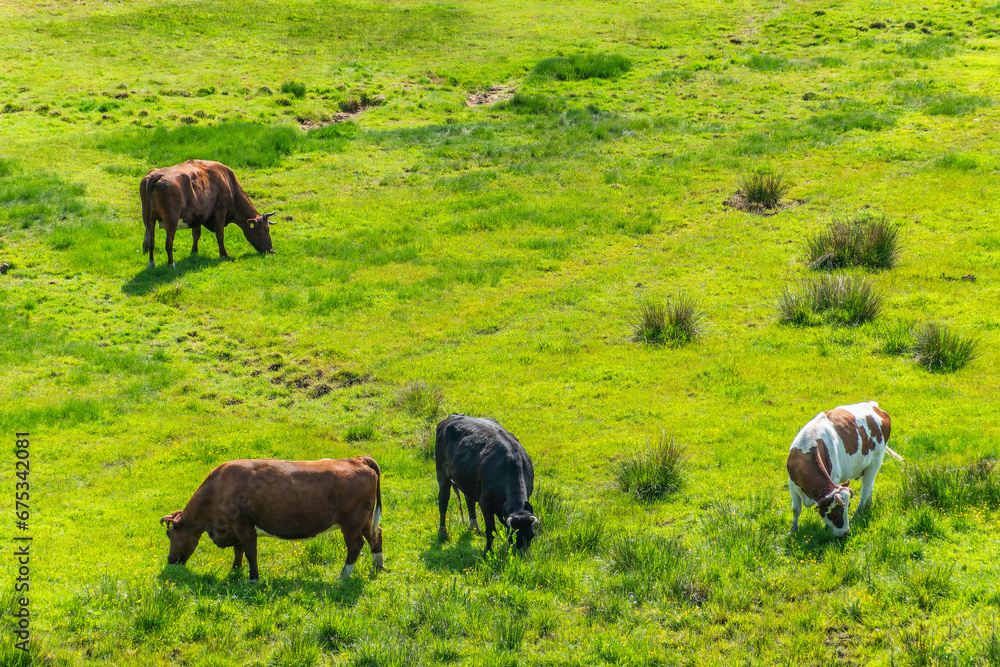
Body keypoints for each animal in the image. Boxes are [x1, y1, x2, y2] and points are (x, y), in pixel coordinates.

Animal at [139, 159, 276, 268]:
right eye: (266, 229)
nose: (272, 250)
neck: (228, 182)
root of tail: (157, 174)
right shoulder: (220, 211)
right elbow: (220, 235)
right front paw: (224, 254)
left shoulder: (196, 216)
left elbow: (196, 234)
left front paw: (194, 252)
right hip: (171, 219)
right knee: (168, 242)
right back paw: (171, 264)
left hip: (148, 218)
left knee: (151, 241)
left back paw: (151, 263)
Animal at [160, 456, 382, 580]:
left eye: (170, 536)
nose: (170, 561)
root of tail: (358, 459)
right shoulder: (234, 527)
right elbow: (238, 551)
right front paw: (235, 571)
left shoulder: (243, 524)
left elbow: (250, 552)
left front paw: (253, 578)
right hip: (366, 520)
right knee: (376, 535)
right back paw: (378, 566)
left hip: (351, 522)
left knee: (355, 545)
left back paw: (342, 577)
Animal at [434, 412, 536, 552]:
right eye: (513, 535)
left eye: (531, 535)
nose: (521, 555)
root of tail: (453, 415)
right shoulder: (485, 504)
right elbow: (491, 531)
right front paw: (487, 552)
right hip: (442, 474)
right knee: (443, 501)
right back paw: (443, 533)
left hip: (468, 480)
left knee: (469, 501)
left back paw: (475, 528)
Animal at [784, 402, 904, 536]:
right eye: (837, 511)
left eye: (848, 506)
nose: (846, 533)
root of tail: (873, 405)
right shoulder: (792, 484)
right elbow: (796, 509)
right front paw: (793, 530)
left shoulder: (835, 478)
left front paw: (826, 528)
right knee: (870, 487)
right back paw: (869, 505)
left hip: (876, 461)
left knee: (866, 489)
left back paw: (858, 514)